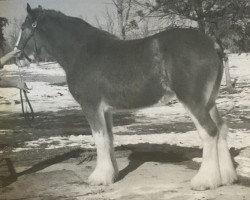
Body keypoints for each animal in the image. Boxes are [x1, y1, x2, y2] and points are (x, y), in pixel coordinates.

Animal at [16, 3, 238, 190]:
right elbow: (109, 139)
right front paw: (111, 174)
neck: (81, 51)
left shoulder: (91, 106)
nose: (18, 57)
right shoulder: (106, 111)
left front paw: (98, 178)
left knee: (209, 131)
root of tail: (212, 44)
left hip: (193, 101)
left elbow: (99, 139)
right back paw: (227, 177)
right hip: (209, 101)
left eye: (24, 27)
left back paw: (204, 181)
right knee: (221, 128)